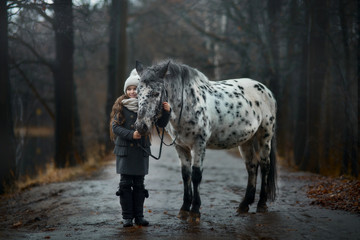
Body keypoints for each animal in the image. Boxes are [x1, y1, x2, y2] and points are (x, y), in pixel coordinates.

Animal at [135, 59, 278, 221]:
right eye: (138, 92)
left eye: (156, 93)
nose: (141, 126)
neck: (188, 103)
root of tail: (265, 90)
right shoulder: (180, 146)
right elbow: (186, 175)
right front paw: (184, 209)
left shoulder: (199, 144)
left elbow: (196, 175)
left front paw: (195, 211)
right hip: (246, 141)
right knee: (252, 167)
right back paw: (244, 205)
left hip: (265, 136)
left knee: (265, 166)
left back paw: (262, 204)